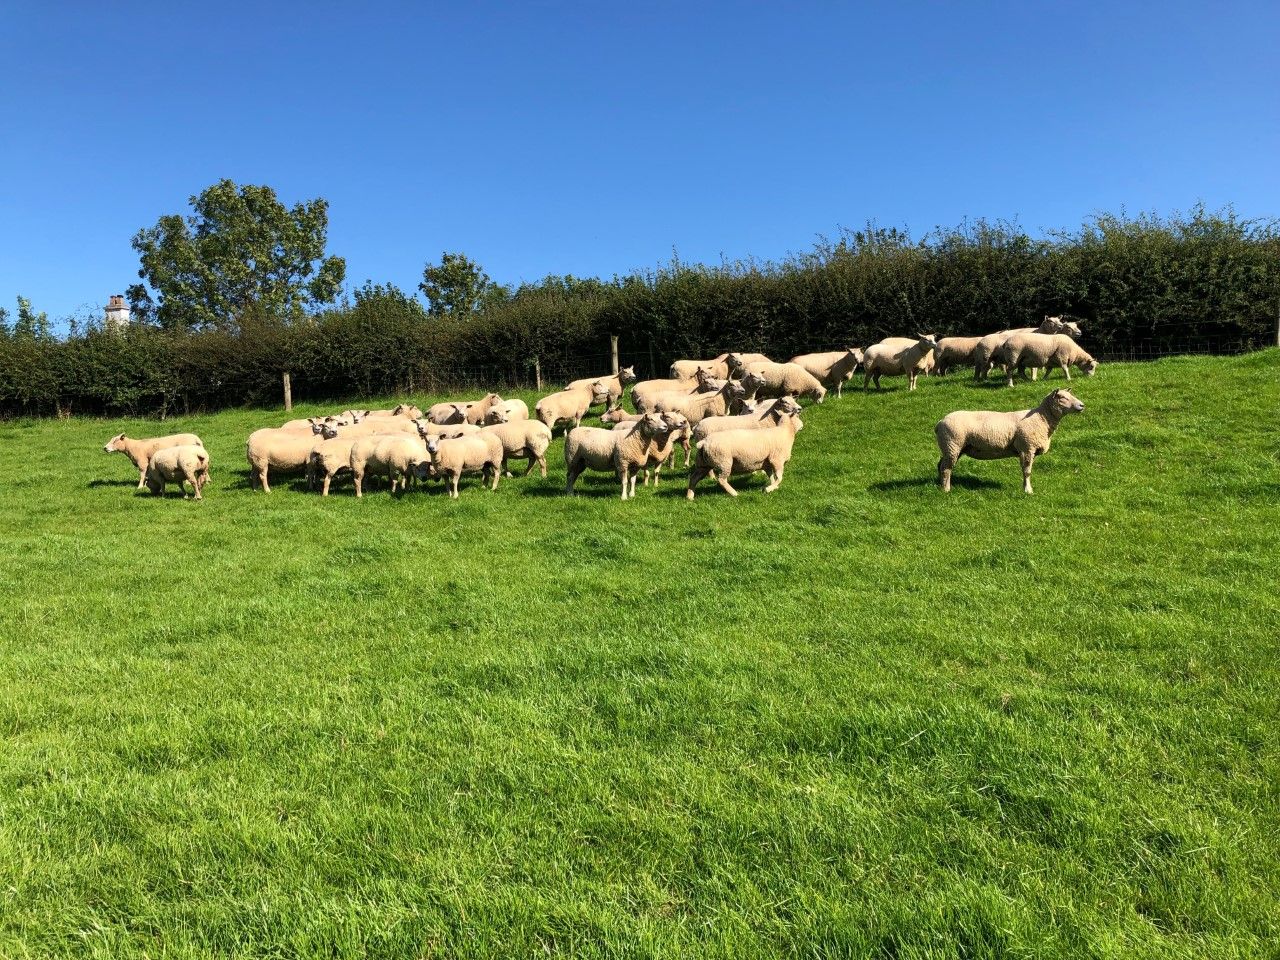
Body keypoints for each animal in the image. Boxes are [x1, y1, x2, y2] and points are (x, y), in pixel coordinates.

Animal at [935, 387, 1086, 494]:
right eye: (1063, 397)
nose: (1082, 405)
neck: (1042, 418)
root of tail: (940, 422)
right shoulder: (1026, 447)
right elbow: (1027, 471)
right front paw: (1028, 491)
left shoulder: (1030, 449)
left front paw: (1026, 488)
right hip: (953, 444)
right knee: (946, 468)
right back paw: (946, 489)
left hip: (953, 447)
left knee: (941, 465)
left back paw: (940, 484)